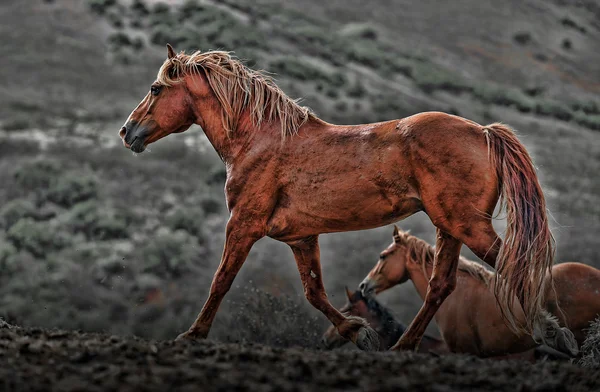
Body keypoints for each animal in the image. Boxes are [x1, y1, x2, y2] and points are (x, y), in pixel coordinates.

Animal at [118, 44, 576, 354]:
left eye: (156, 88)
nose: (127, 132)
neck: (258, 140)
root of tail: (483, 132)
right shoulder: (301, 238)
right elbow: (315, 293)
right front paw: (359, 332)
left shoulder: (243, 225)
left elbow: (221, 281)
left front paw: (192, 334)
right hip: (450, 227)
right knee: (441, 285)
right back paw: (401, 348)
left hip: (466, 225)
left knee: (514, 268)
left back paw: (556, 335)